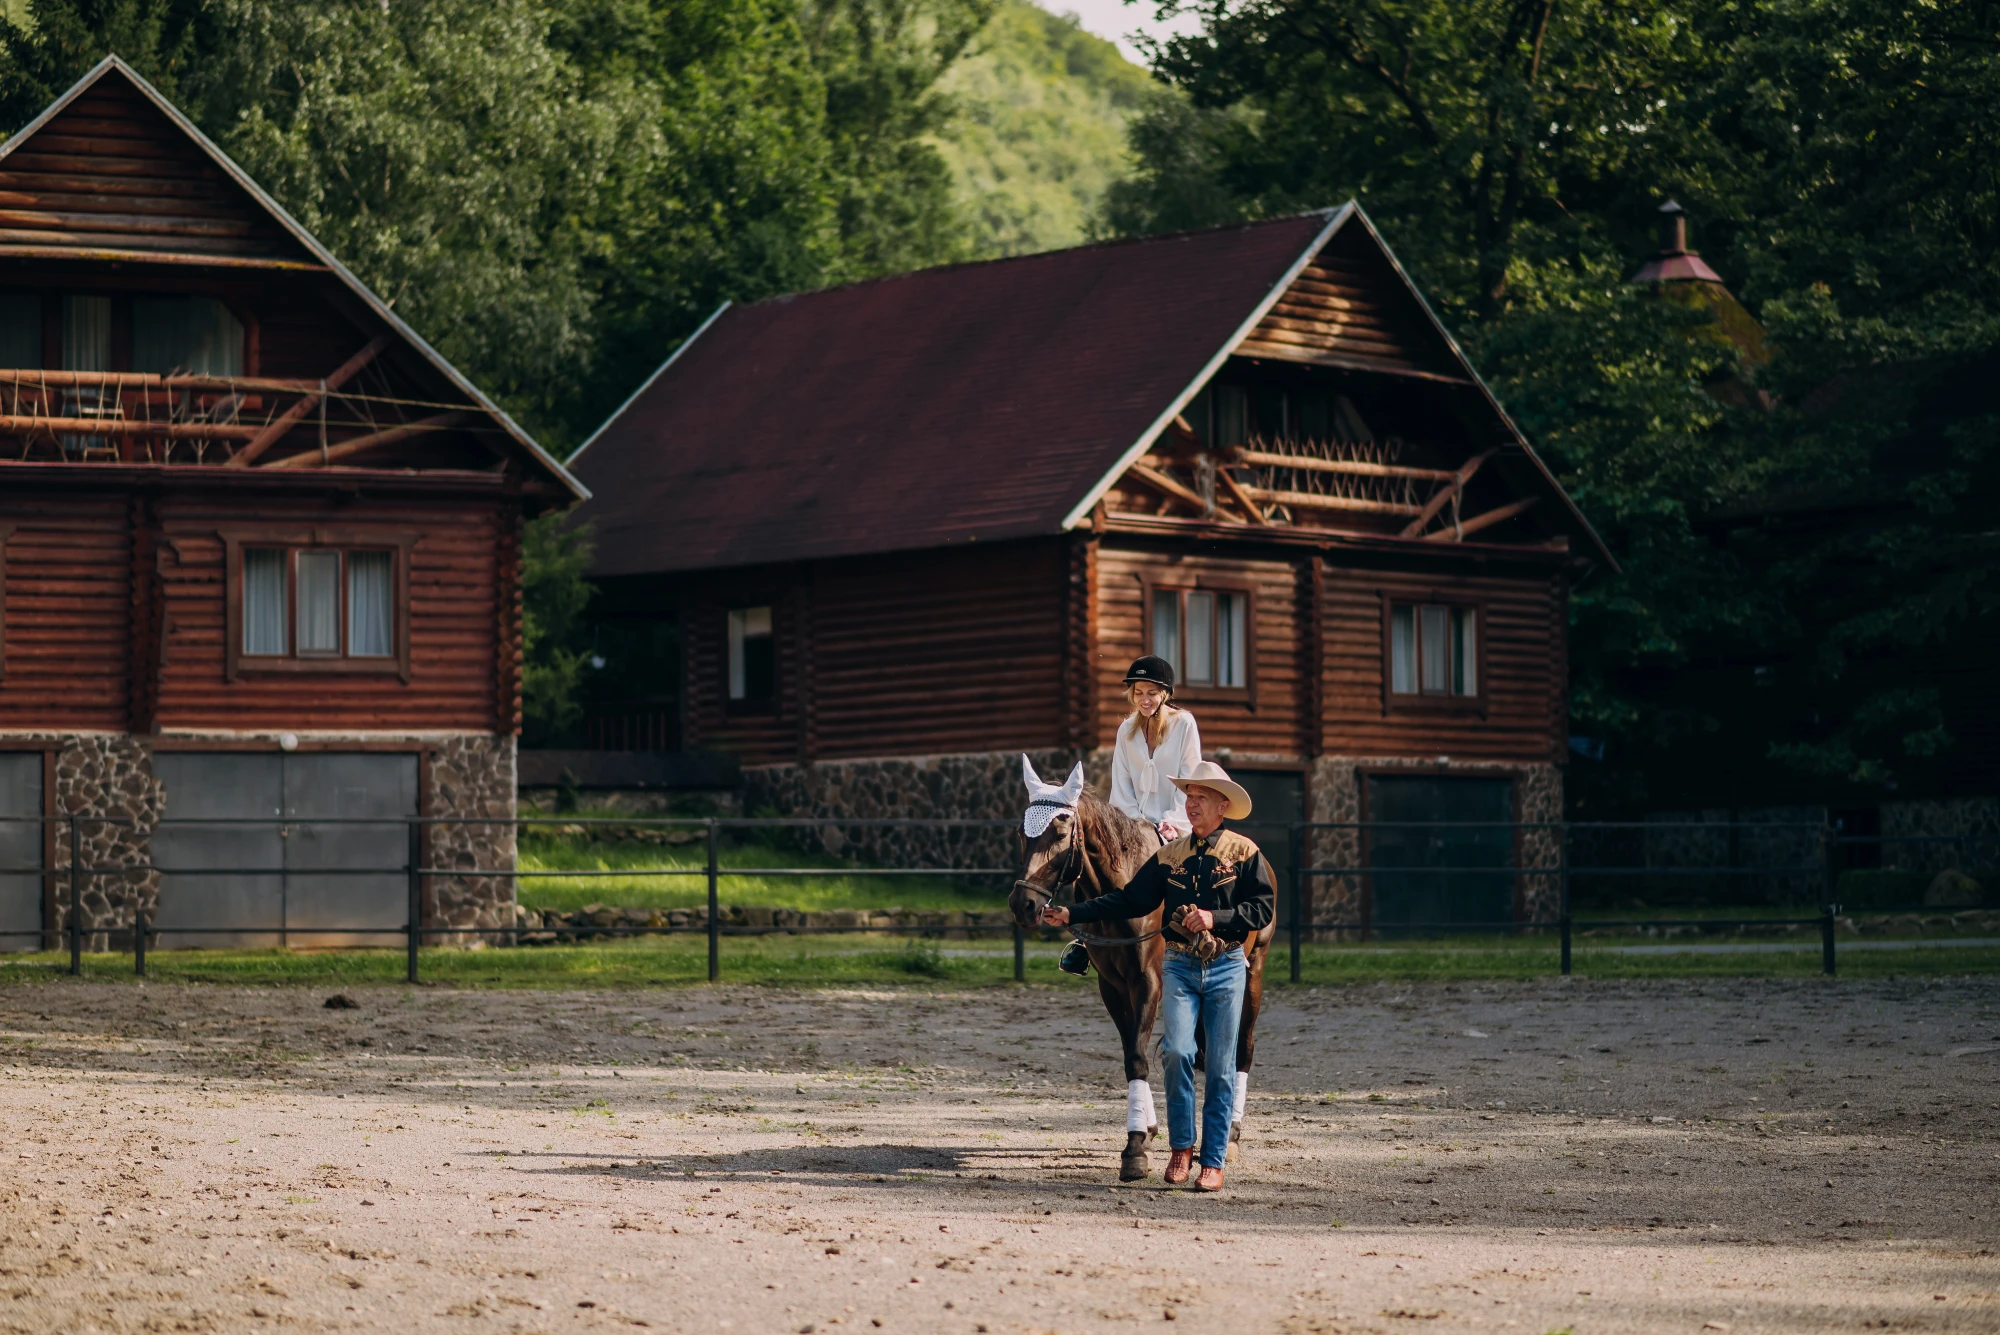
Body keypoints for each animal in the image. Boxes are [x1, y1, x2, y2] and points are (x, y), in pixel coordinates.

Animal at [1016, 755, 1280, 1183]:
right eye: (1022, 833)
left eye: (1060, 832)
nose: (1021, 904)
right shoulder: (1113, 987)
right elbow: (1131, 1054)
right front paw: (1144, 1132)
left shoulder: (1148, 982)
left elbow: (1140, 1056)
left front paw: (1136, 1147)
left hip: (1253, 975)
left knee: (1243, 1048)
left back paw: (1233, 1135)